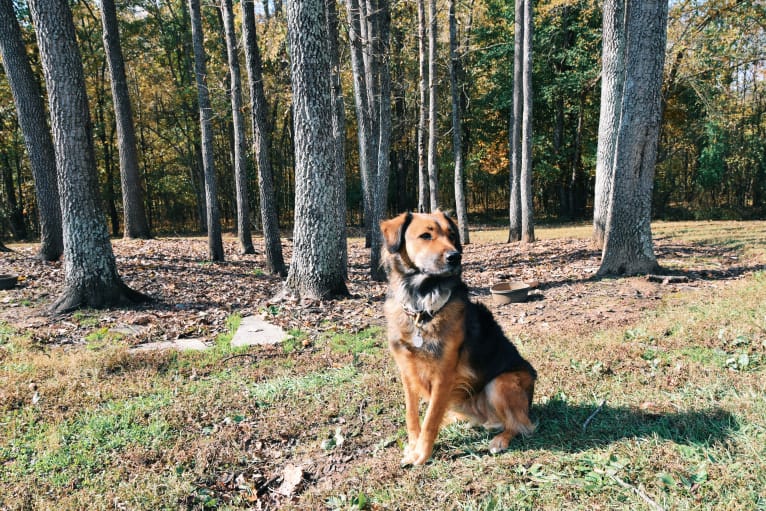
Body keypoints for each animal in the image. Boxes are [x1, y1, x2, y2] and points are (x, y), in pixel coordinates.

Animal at [380, 210, 536, 466]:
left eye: (452, 235)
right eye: (426, 236)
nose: (456, 257)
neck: (421, 303)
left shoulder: (443, 374)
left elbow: (430, 419)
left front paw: (421, 454)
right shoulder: (406, 370)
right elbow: (413, 415)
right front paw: (413, 446)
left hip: (500, 384)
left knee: (521, 424)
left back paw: (501, 439)